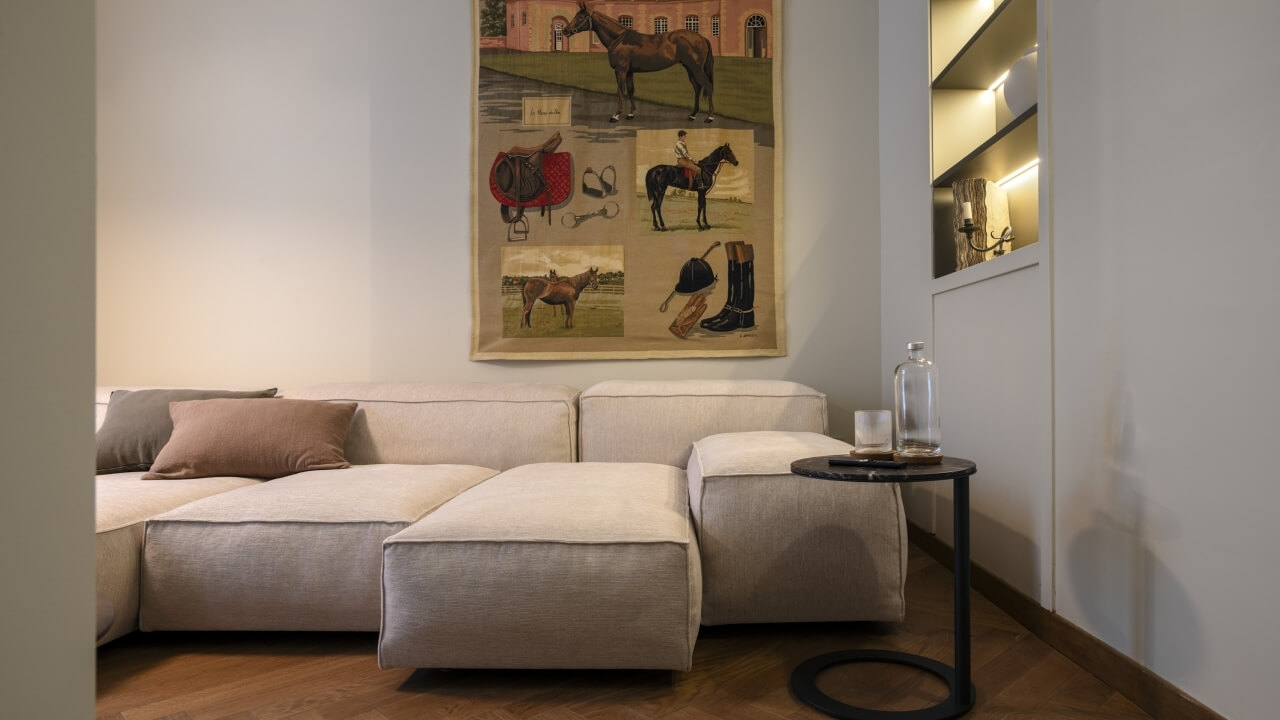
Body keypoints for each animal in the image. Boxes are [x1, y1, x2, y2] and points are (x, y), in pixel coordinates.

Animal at [565, 2, 716, 122]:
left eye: (581, 17)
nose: (565, 30)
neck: (619, 39)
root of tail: (701, 37)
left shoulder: (620, 70)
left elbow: (621, 90)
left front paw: (616, 115)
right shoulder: (629, 71)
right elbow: (631, 90)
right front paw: (631, 114)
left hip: (696, 68)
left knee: (707, 86)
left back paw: (709, 117)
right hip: (689, 68)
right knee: (697, 88)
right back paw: (692, 114)